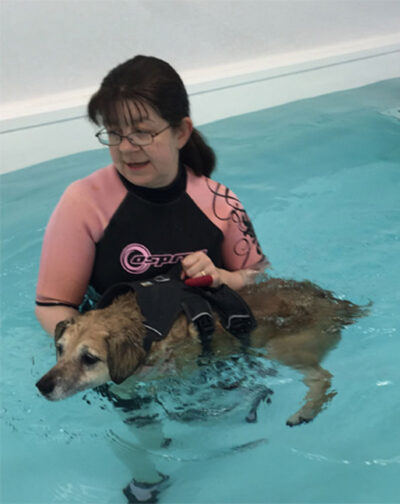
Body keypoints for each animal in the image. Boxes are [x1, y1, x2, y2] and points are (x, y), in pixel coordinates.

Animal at [36, 278, 368, 428]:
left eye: (89, 358)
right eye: (60, 349)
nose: (42, 386)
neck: (147, 326)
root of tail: (339, 305)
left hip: (283, 348)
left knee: (323, 378)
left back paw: (305, 411)